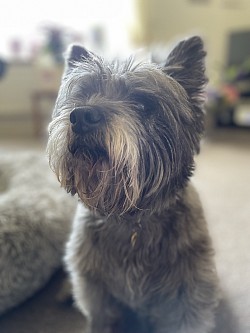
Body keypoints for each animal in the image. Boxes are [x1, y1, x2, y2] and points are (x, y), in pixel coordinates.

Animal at [46, 36, 219, 332]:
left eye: (144, 103)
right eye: (84, 94)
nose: (81, 116)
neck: (130, 219)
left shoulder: (188, 300)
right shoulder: (97, 296)